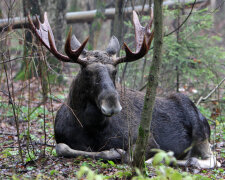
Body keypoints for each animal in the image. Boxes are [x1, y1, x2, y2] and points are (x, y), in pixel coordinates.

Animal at [28, 11, 220, 169]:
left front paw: (115, 152)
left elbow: (127, 155)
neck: (90, 127)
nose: (112, 105)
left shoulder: (148, 140)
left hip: (201, 134)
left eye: (114, 71)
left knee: (211, 159)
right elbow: (62, 148)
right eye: (87, 72)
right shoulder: (62, 139)